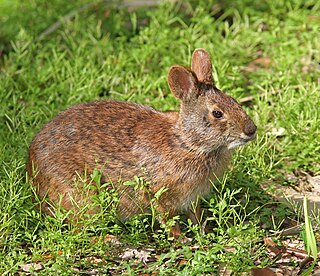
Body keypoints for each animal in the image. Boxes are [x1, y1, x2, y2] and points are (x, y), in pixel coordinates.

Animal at [27, 48, 258, 238]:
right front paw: (182, 238)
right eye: (217, 113)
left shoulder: (193, 197)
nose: (251, 130)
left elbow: (196, 214)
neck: (188, 142)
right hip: (82, 193)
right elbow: (168, 219)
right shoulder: (160, 193)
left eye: (234, 101)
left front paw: (205, 231)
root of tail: (32, 175)